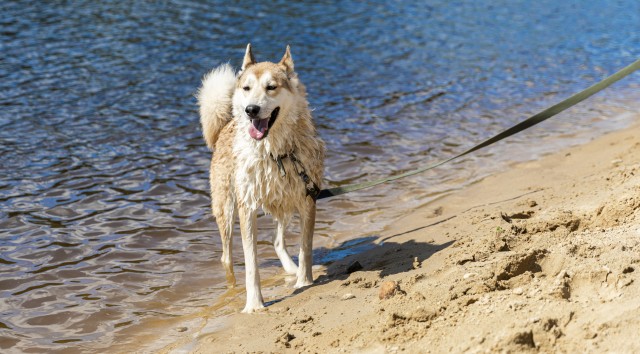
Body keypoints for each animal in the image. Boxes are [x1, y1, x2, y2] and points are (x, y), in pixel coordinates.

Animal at [196, 43, 328, 312]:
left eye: (271, 87)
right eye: (246, 88)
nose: (251, 110)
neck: (275, 153)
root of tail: (225, 125)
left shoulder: (307, 199)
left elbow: (306, 247)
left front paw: (304, 281)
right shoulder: (246, 208)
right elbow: (251, 263)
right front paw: (254, 304)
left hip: (284, 203)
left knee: (277, 240)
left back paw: (292, 270)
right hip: (226, 209)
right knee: (226, 258)